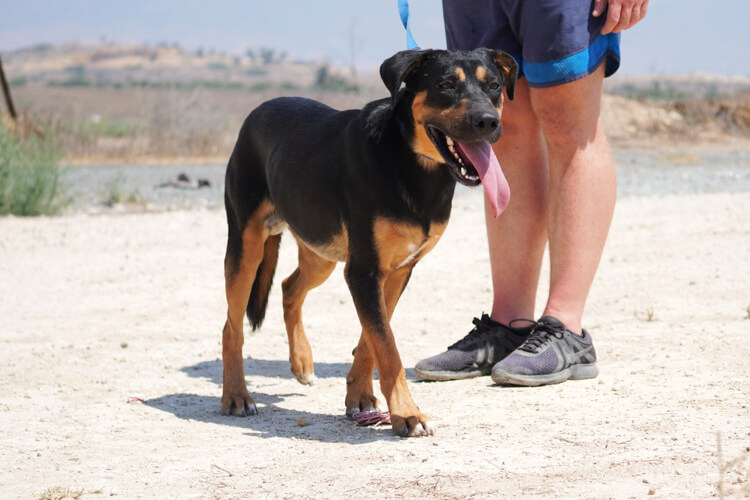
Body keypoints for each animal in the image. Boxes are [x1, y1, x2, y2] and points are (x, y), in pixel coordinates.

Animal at [220, 48, 520, 436]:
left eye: (494, 86)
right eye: (445, 85)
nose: (487, 122)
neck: (411, 160)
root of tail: (259, 109)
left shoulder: (395, 271)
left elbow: (372, 338)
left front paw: (360, 397)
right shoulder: (363, 272)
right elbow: (387, 346)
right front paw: (407, 414)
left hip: (321, 251)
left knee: (289, 287)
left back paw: (302, 362)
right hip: (247, 247)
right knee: (232, 325)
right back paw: (236, 396)